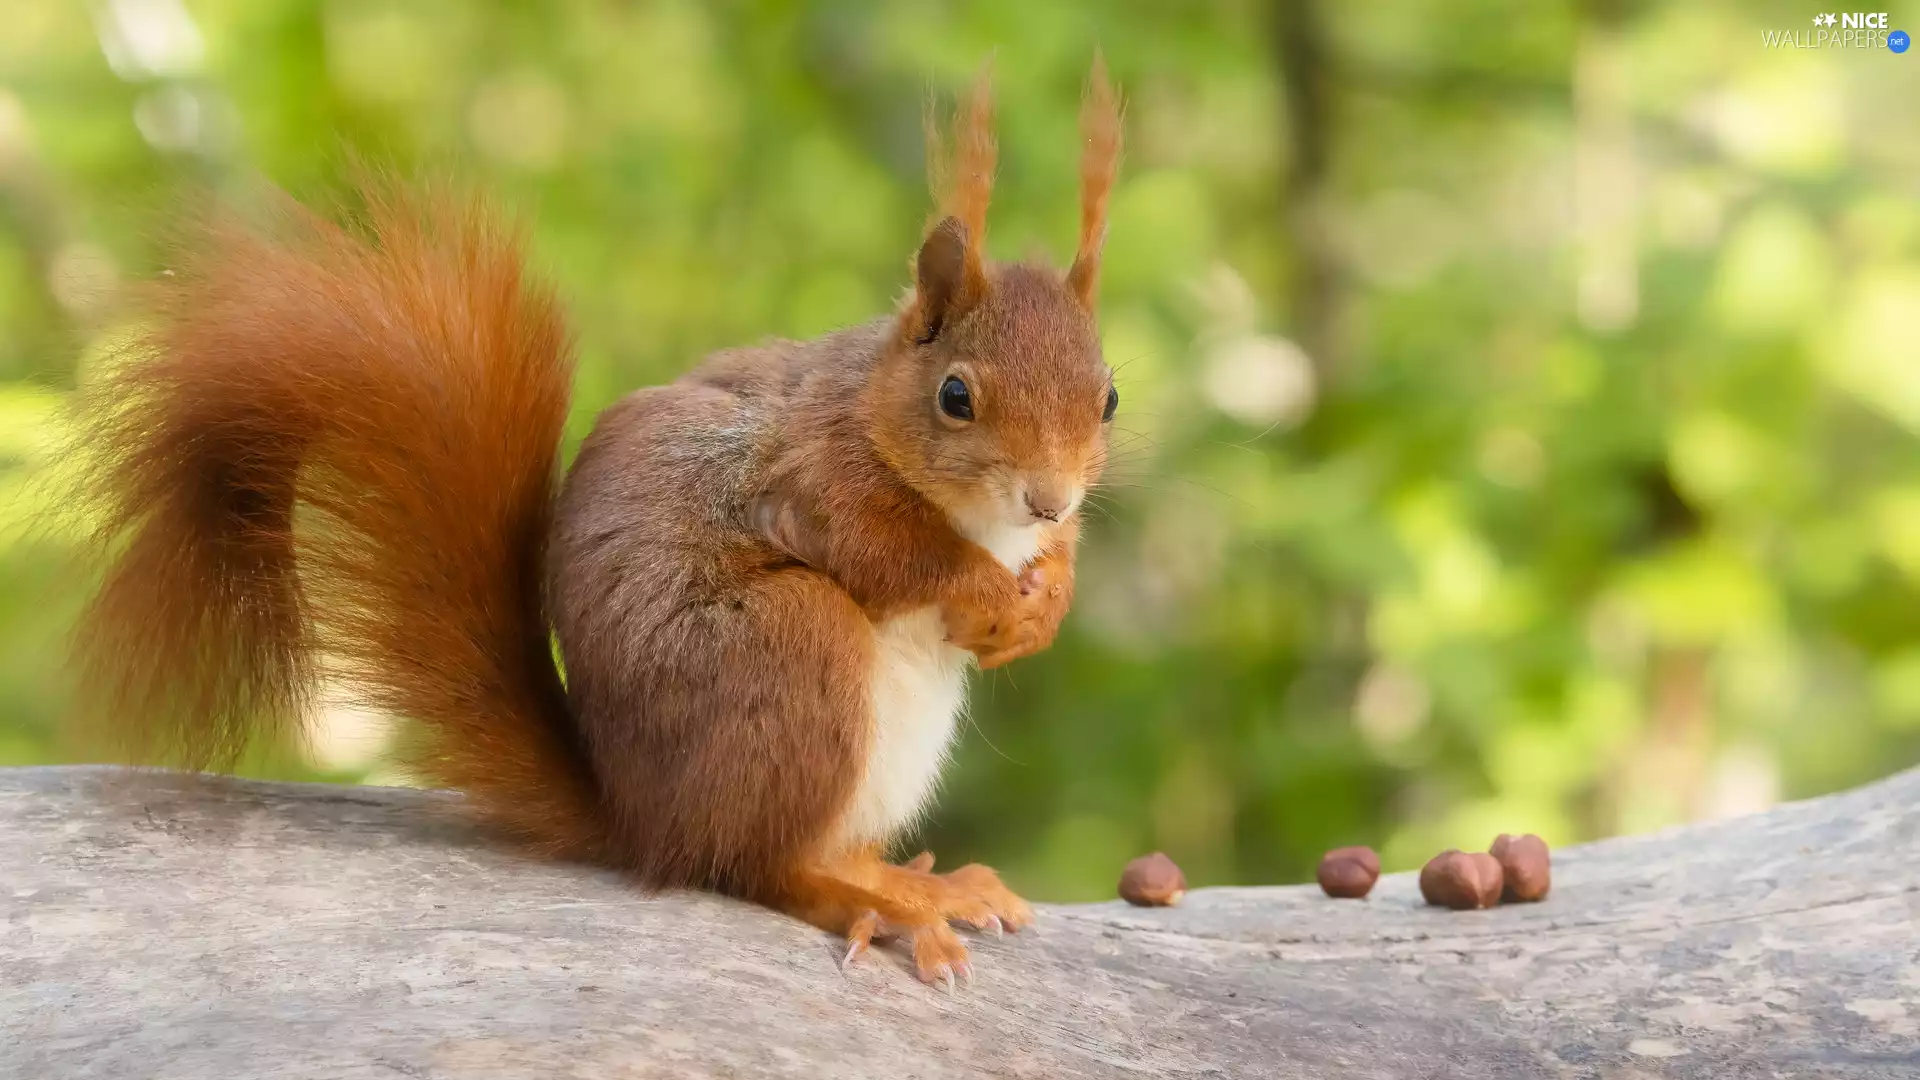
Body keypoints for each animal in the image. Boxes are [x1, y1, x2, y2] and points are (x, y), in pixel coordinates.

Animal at [64, 59, 1122, 988]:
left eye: (1108, 398)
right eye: (955, 397)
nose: (1049, 498)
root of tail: (640, 821)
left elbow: (1047, 563)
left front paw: (1046, 599)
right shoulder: (809, 474)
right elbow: (885, 548)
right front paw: (986, 589)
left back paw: (916, 879)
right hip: (791, 651)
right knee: (756, 867)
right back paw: (881, 904)